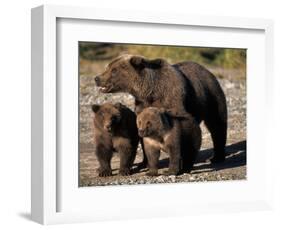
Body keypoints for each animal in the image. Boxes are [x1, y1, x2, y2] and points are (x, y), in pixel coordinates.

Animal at [95, 54, 226, 164]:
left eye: (114, 71)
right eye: (108, 67)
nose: (97, 78)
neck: (150, 91)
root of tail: (207, 70)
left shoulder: (172, 99)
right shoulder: (142, 105)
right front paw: (145, 162)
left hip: (211, 95)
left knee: (217, 124)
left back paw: (216, 157)